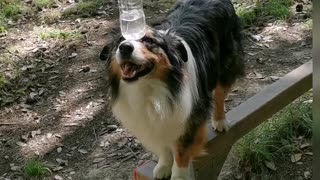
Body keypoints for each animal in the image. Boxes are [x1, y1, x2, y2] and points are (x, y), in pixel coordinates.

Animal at [100, 0, 245, 179]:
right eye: (119, 41)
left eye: (149, 41)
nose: (125, 47)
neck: (151, 87)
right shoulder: (156, 122)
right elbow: (163, 146)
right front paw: (163, 165)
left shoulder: (190, 117)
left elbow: (181, 151)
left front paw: (179, 175)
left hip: (226, 62)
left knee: (219, 92)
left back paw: (219, 121)